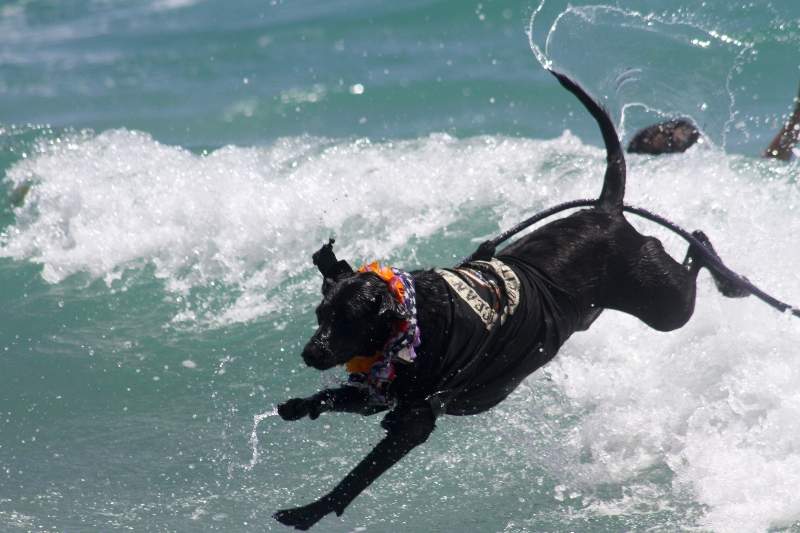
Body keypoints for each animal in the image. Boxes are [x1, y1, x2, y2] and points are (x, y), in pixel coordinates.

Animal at [272, 69, 748, 528]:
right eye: (320, 313)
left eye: (348, 319)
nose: (309, 353)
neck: (411, 319)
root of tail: (606, 209)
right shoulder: (381, 394)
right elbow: (343, 400)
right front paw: (301, 406)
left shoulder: (415, 422)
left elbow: (357, 477)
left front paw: (309, 511)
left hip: (665, 304)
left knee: (695, 248)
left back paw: (729, 277)